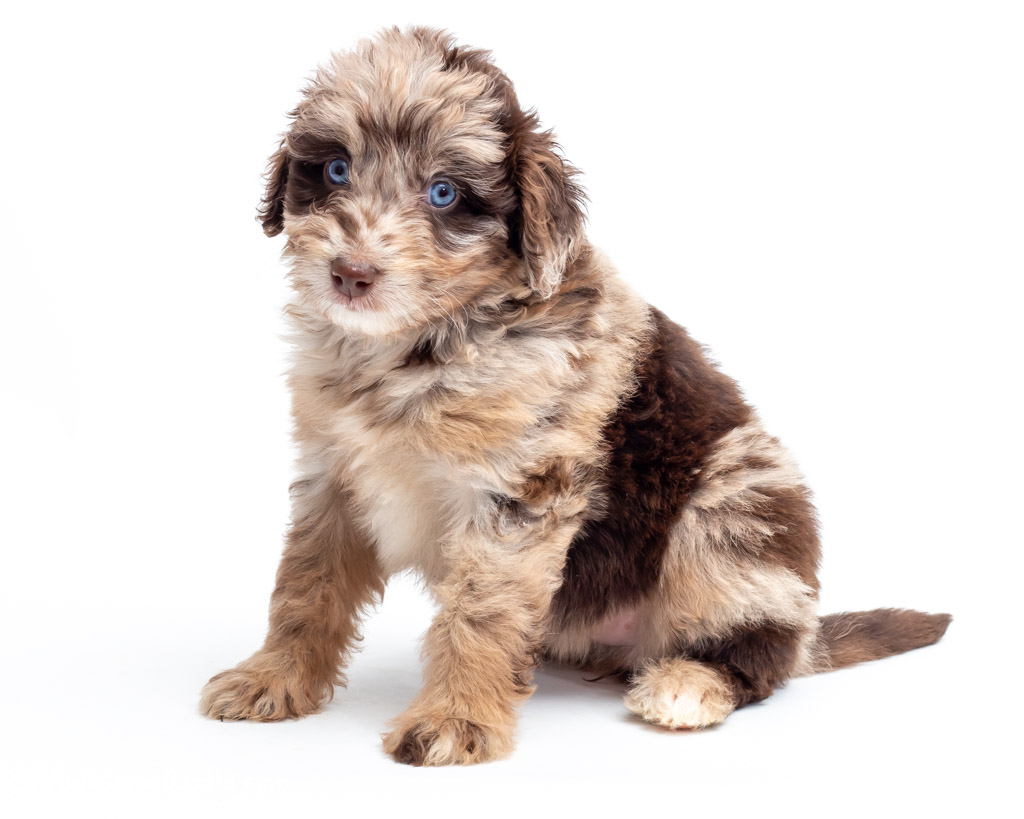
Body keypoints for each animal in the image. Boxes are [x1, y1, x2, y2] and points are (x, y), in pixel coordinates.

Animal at [199, 27, 950, 769]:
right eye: (334, 170)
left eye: (443, 192)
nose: (350, 274)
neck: (420, 347)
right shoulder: (333, 474)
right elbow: (306, 583)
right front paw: (273, 677)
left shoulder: (521, 493)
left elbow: (480, 611)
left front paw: (455, 717)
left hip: (736, 506)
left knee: (759, 654)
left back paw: (688, 684)